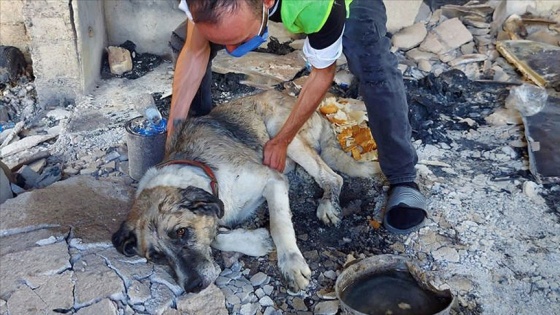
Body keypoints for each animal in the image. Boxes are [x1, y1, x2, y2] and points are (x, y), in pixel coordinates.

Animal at [111, 90, 378, 296]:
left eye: (181, 232)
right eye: (156, 256)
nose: (194, 287)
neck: (204, 173)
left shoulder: (272, 180)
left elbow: (279, 225)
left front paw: (291, 264)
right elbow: (216, 237)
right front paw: (257, 241)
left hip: (281, 132)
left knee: (332, 176)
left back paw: (327, 204)